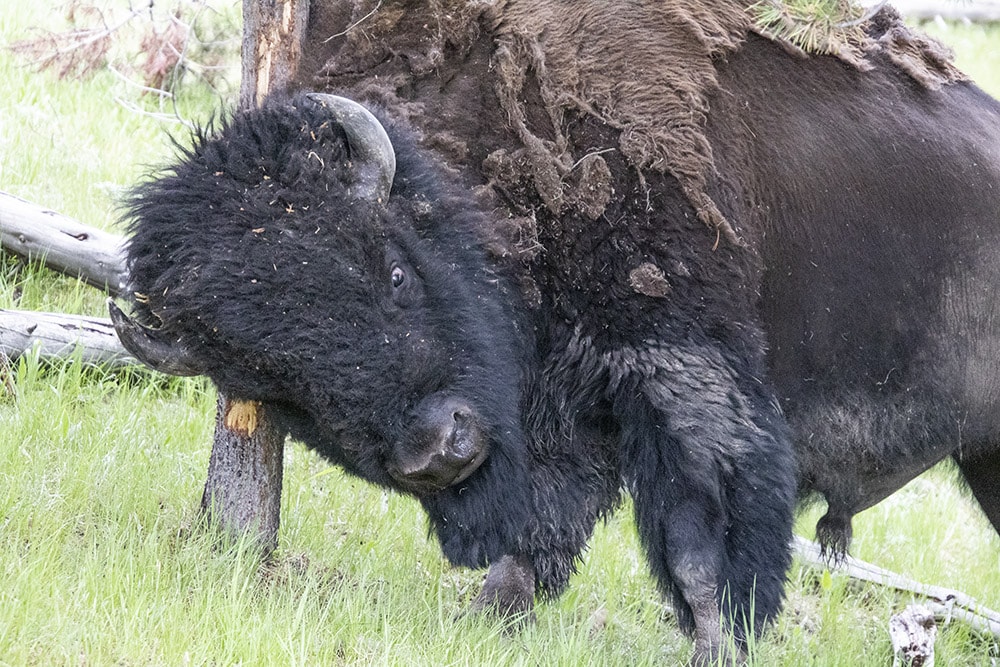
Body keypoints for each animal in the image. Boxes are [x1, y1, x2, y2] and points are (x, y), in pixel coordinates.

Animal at [109, 1, 1000, 664]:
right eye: (280, 383)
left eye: (393, 272)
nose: (439, 450)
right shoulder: (567, 416)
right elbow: (543, 534)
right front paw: (484, 620)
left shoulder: (679, 367)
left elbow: (699, 544)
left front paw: (717, 643)